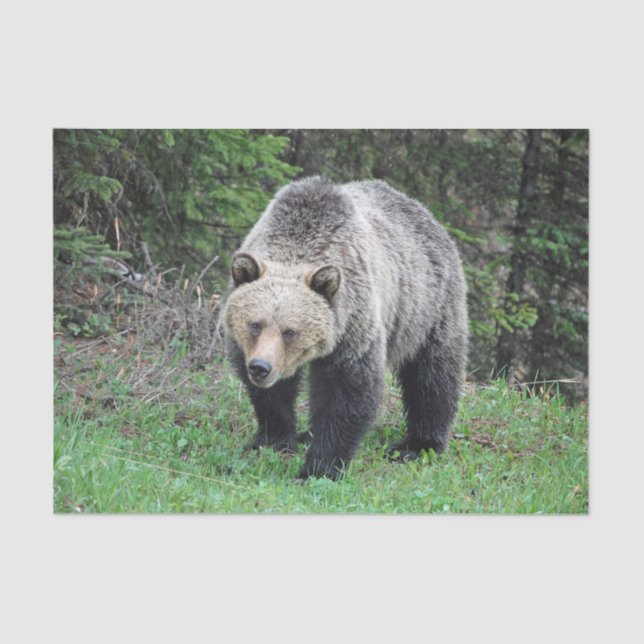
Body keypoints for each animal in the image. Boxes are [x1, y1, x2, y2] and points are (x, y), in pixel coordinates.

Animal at [221, 176, 468, 480]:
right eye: (255, 324)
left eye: (290, 331)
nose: (260, 368)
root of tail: (425, 212)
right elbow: (272, 396)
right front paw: (273, 440)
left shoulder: (352, 325)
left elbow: (346, 391)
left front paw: (319, 468)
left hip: (428, 307)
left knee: (432, 376)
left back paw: (417, 445)